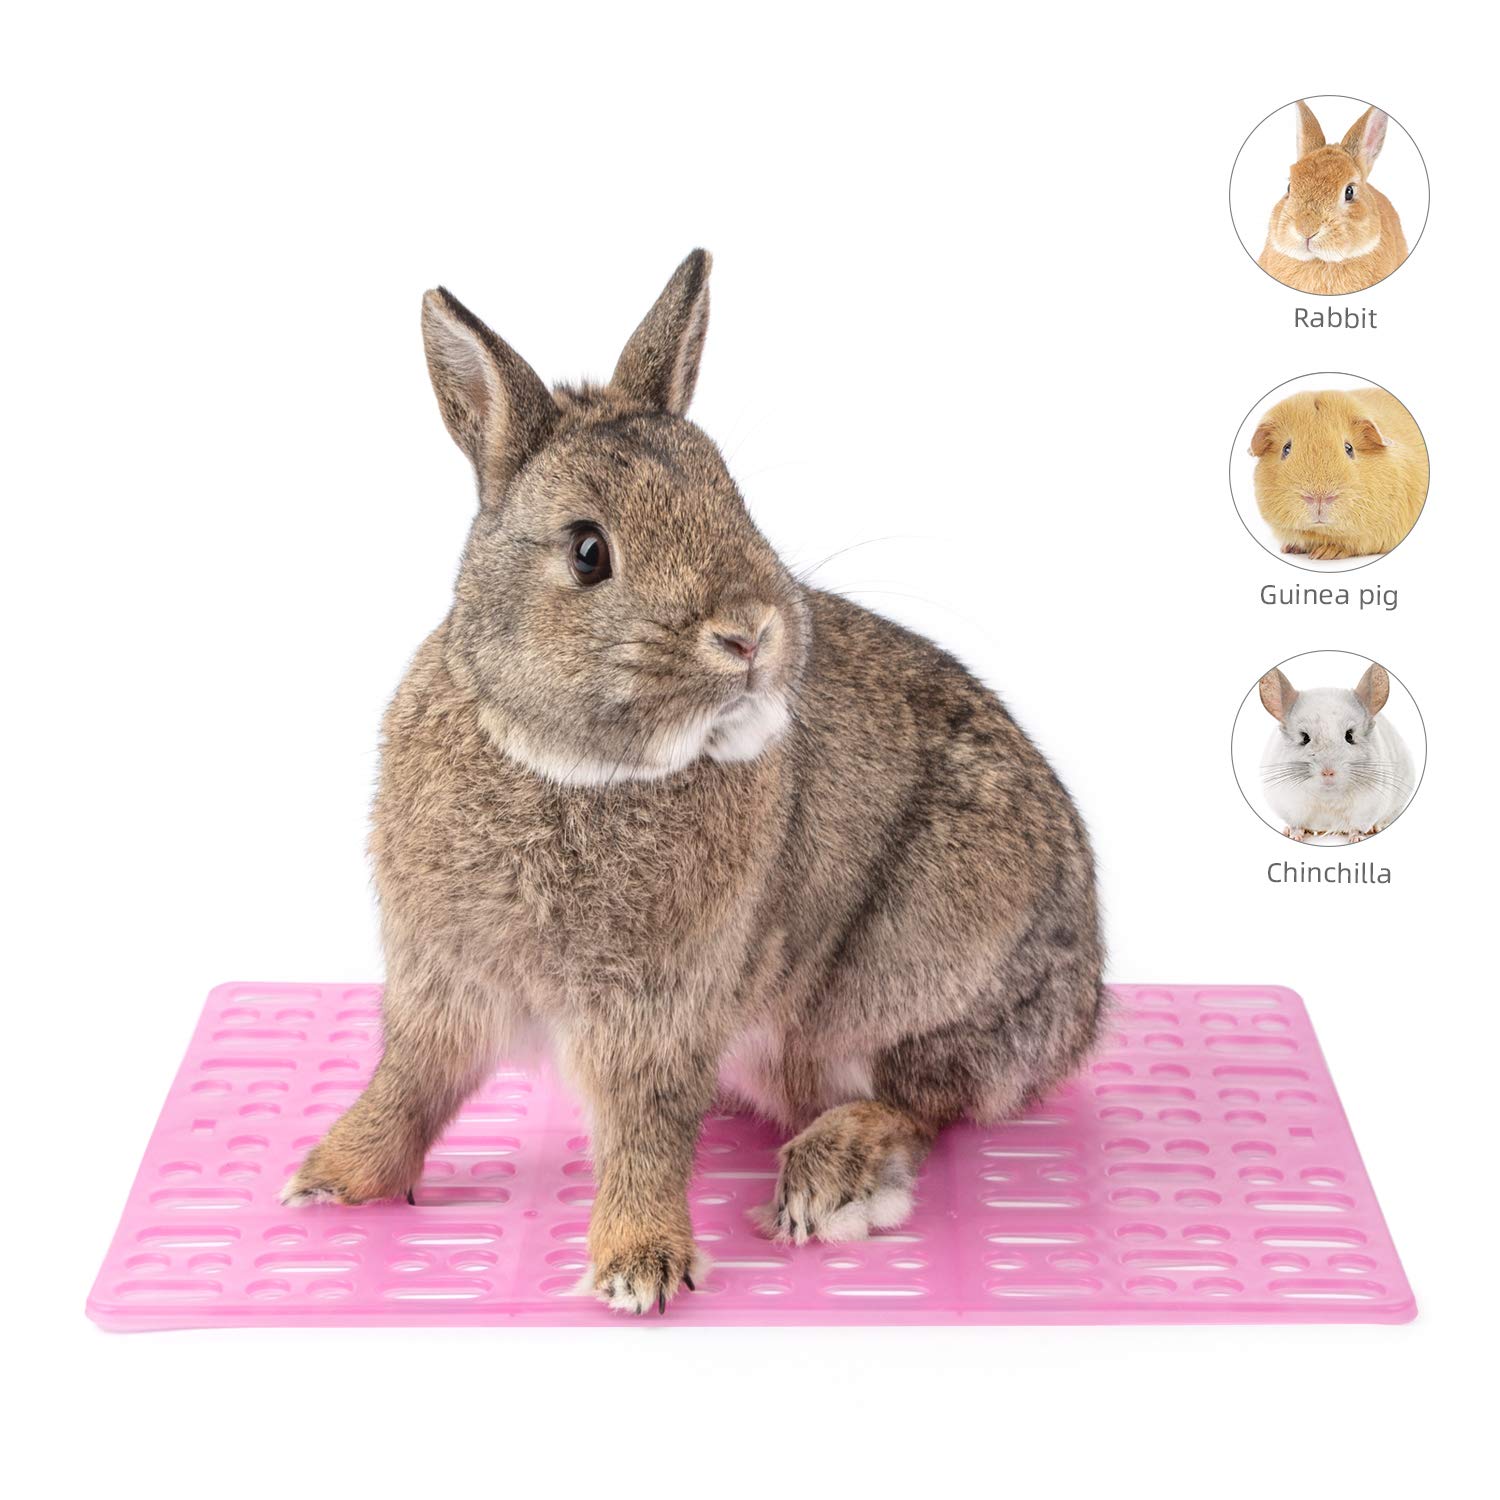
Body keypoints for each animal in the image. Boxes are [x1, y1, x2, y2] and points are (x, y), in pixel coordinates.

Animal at [280, 251, 1107, 1314]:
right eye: (589, 550)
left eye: (734, 501)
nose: (751, 633)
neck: (574, 769)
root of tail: (1082, 1013)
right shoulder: (443, 985)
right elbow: (409, 1087)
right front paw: (329, 1182)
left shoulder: (660, 1011)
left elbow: (644, 1133)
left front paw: (639, 1267)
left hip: (909, 978)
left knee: (924, 1103)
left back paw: (829, 1176)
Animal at [1258, 662, 1415, 842]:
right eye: (1304, 737)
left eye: (1350, 735)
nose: (1328, 772)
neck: (1328, 796)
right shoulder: (1289, 805)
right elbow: (1296, 824)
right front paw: (1295, 835)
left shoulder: (1367, 808)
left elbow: (1357, 827)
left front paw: (1356, 838)